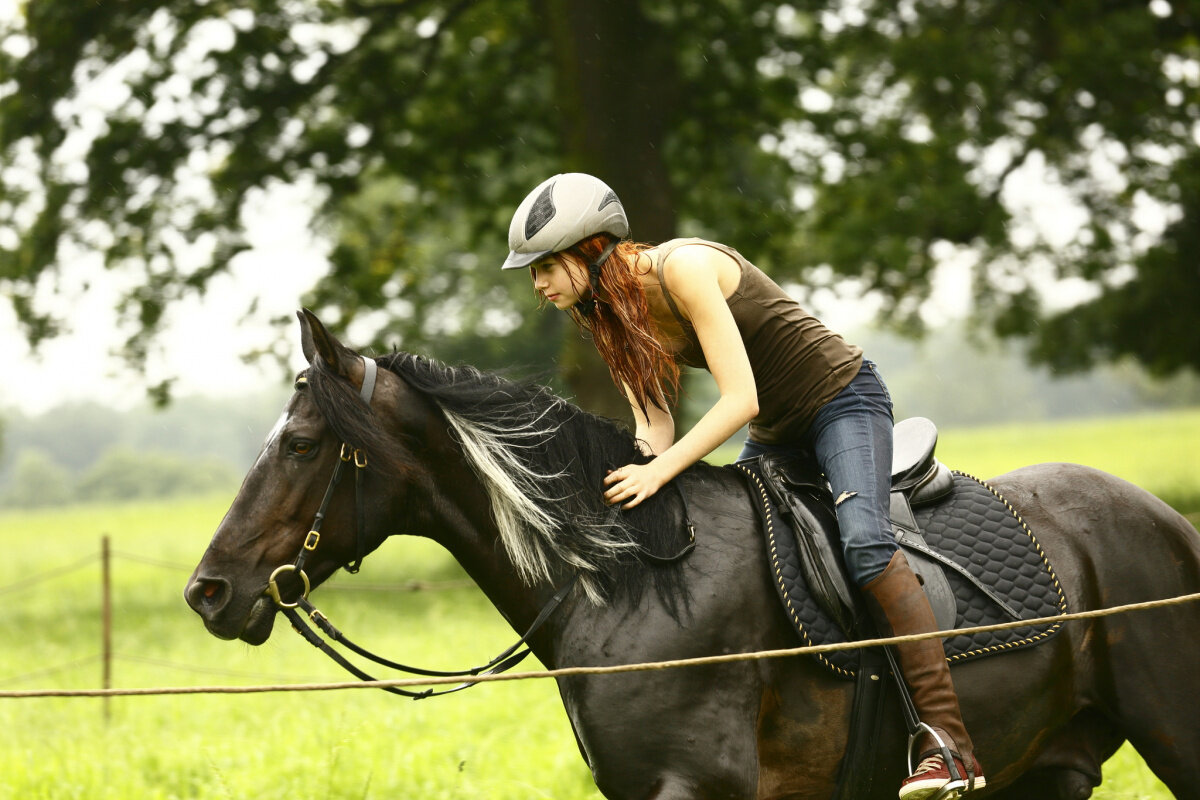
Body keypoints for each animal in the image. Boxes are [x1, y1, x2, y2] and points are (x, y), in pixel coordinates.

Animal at [187, 311, 1200, 800]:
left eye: (301, 445)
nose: (210, 591)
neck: (628, 584)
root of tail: (1165, 520)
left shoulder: (695, 786)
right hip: (1050, 767)